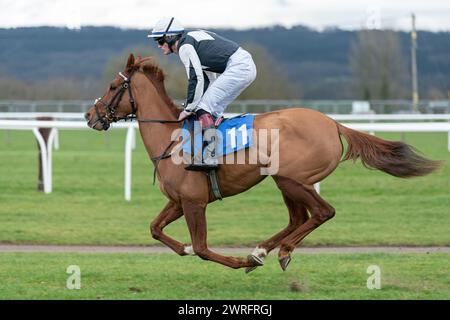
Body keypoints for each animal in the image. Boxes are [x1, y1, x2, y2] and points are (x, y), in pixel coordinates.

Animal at [84, 53, 440, 272]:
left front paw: (236, 261)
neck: (171, 138)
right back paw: (263, 250)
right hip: (286, 182)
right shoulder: (178, 200)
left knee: (322, 212)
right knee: (298, 218)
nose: (90, 115)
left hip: (291, 178)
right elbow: (155, 228)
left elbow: (202, 248)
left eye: (113, 87)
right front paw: (188, 249)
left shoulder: (195, 202)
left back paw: (277, 251)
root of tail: (332, 123)